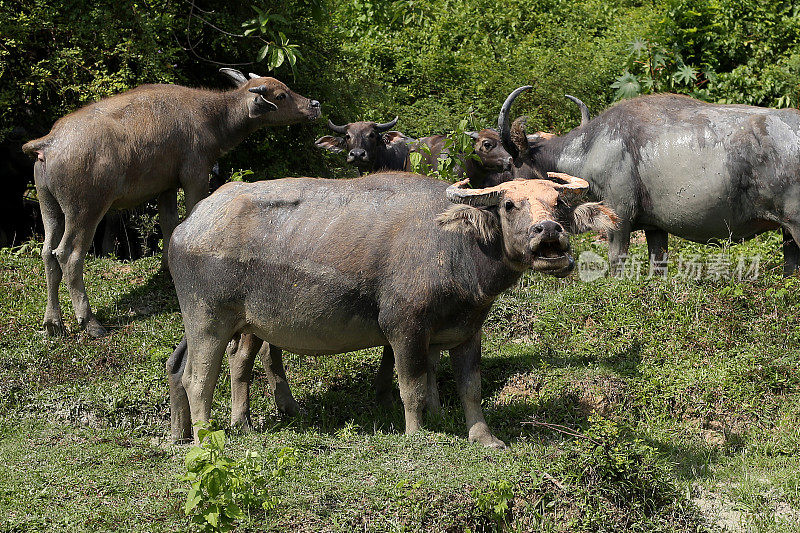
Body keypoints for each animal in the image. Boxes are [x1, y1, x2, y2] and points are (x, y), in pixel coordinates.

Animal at [20, 68, 318, 334]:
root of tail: (49, 143)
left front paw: (167, 268)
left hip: (50, 208)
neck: (211, 116)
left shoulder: (166, 188)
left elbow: (168, 224)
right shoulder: (195, 177)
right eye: (281, 95)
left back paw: (53, 322)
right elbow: (190, 216)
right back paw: (90, 322)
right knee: (68, 255)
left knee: (47, 253)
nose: (314, 104)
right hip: (85, 210)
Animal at [167, 170, 620, 444]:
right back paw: (209, 437)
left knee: (197, 367)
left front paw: (483, 437)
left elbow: (468, 387)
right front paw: (418, 434)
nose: (549, 231)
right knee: (198, 378)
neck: (455, 247)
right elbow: (413, 385)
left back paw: (196, 432)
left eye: (559, 204)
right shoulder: (405, 327)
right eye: (510, 205)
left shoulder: (465, 331)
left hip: (230, 324)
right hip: (208, 320)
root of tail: (189, 225)